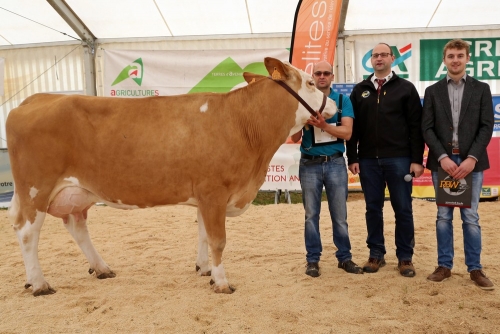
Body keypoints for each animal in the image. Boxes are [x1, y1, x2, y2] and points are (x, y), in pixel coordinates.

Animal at [5, 56, 336, 294]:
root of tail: (34, 99)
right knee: (26, 232)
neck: (242, 123)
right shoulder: (214, 191)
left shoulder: (205, 194)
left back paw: (100, 268)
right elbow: (218, 239)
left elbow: (203, 234)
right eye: (310, 82)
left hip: (76, 192)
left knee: (76, 226)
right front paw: (222, 282)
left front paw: (205, 271)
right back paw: (39, 284)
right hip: (36, 189)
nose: (333, 104)